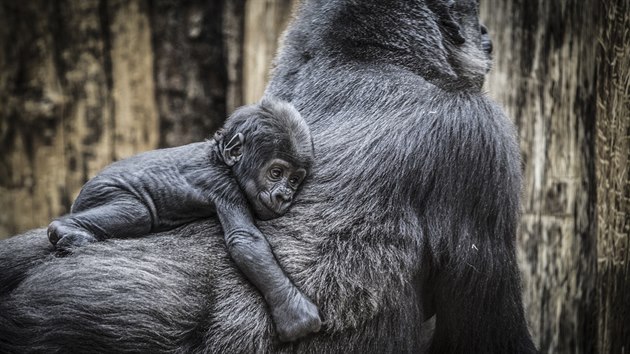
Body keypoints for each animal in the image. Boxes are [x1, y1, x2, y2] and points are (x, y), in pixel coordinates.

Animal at [46, 97, 320, 342]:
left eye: (294, 180)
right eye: (276, 173)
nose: (284, 196)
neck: (221, 158)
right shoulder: (225, 186)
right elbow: (245, 240)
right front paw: (293, 309)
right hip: (100, 190)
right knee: (137, 213)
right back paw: (67, 230)